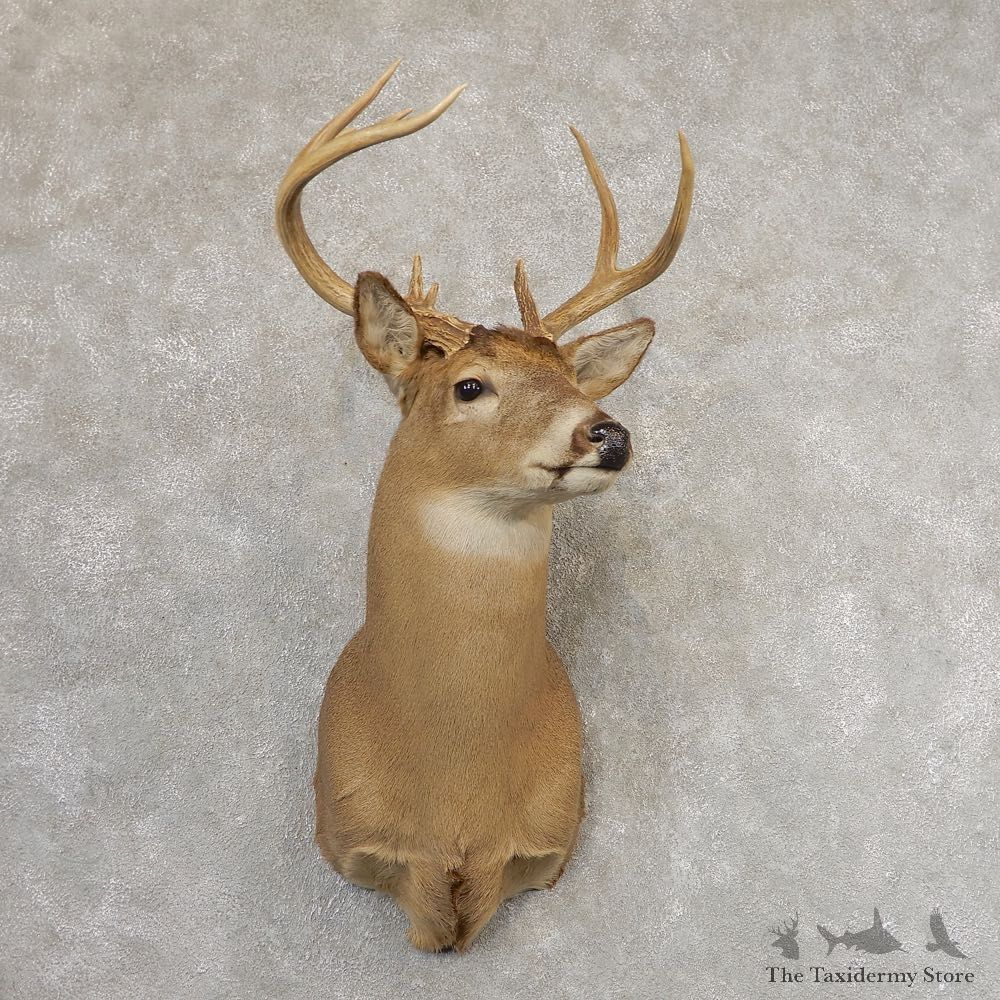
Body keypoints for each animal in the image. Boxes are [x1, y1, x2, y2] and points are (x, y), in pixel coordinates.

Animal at [275, 60, 694, 953]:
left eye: (573, 380)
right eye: (470, 386)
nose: (607, 432)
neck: (454, 791)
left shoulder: (552, 835)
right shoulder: (348, 835)